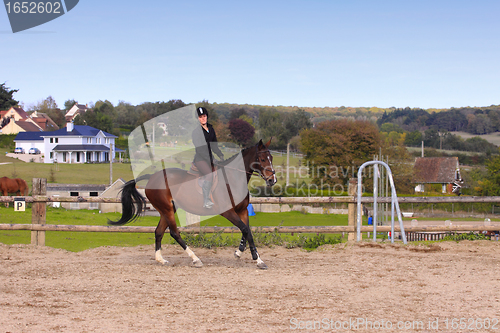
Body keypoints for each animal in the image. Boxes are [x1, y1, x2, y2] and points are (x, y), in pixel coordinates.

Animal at [108, 139, 278, 268]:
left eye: (271, 158)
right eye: (263, 159)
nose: (272, 180)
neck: (233, 178)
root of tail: (152, 177)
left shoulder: (242, 210)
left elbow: (247, 231)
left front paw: (240, 253)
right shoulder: (228, 212)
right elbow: (245, 229)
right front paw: (258, 260)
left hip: (167, 209)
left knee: (158, 231)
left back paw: (161, 259)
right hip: (167, 209)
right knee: (174, 232)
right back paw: (195, 259)